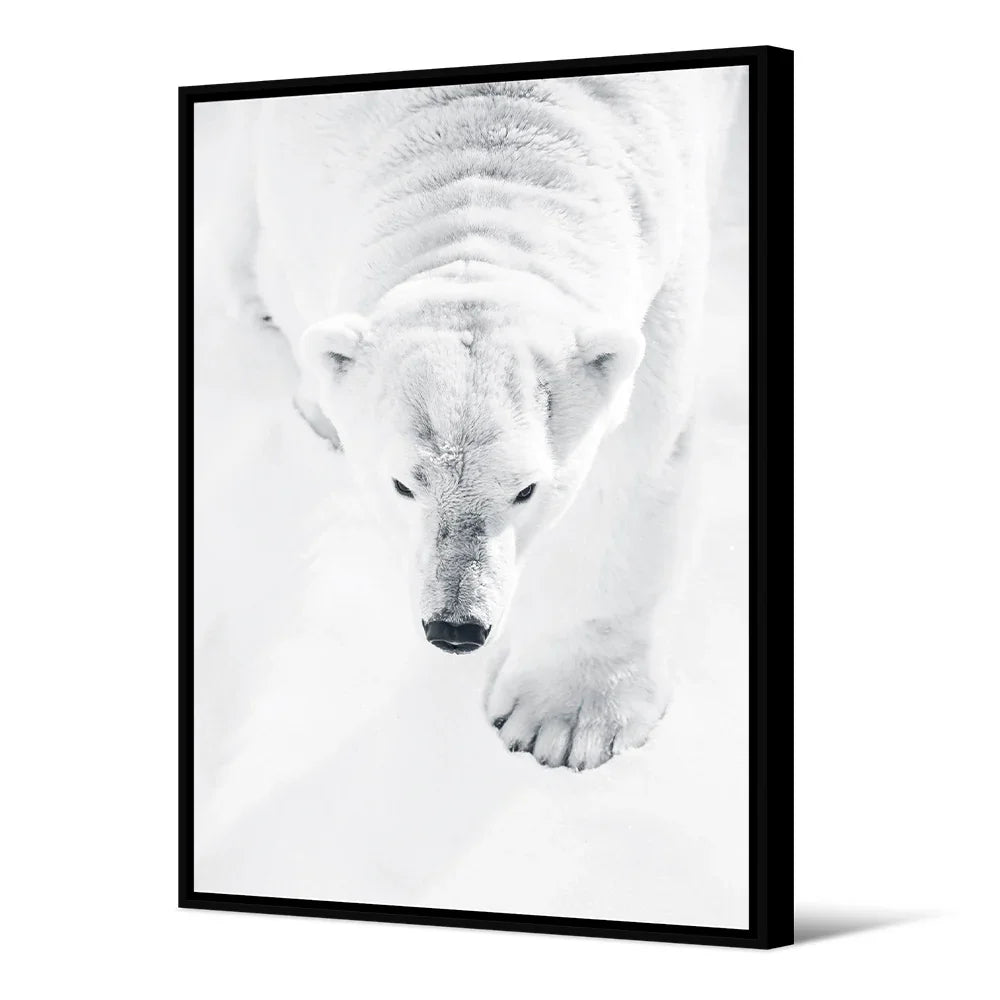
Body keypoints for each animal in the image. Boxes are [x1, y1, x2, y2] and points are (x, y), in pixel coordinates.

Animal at [203, 69, 744, 770]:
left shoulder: (659, 263)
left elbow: (631, 467)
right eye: (402, 483)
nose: (456, 627)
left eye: (528, 488)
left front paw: (565, 722)